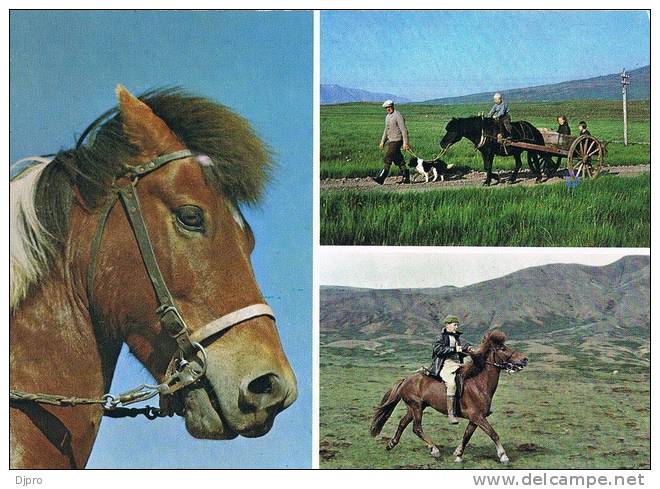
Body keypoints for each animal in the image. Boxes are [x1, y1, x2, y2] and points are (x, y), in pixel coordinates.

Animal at [372, 330, 524, 464]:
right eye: (503, 348)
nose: (524, 359)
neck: (478, 383)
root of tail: (405, 380)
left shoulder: (475, 419)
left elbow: (467, 435)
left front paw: (458, 454)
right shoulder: (477, 416)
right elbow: (493, 434)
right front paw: (503, 456)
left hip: (415, 407)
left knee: (403, 423)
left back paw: (391, 444)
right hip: (416, 407)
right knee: (417, 428)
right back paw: (434, 450)